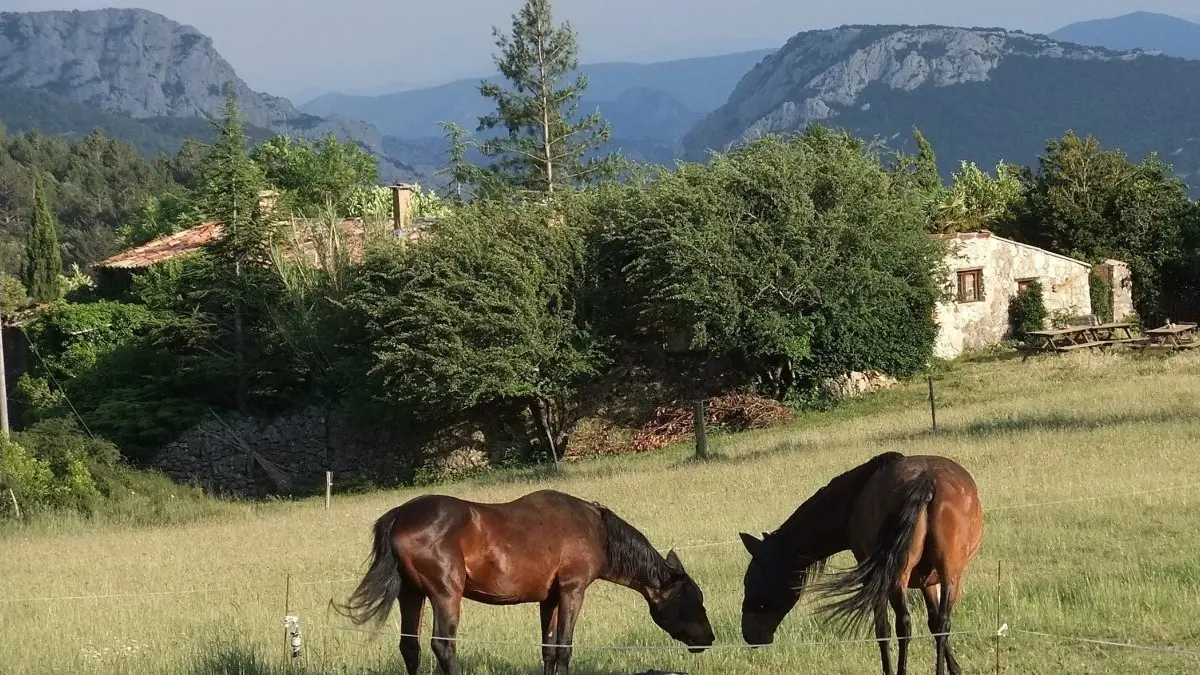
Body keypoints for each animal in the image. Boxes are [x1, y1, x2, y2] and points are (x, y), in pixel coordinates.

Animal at [335, 489, 715, 675]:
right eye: (694, 599)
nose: (709, 639)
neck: (596, 529)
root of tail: (400, 514)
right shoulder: (572, 591)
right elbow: (564, 648)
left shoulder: (548, 599)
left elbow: (548, 649)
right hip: (445, 595)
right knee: (443, 645)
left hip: (411, 595)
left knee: (410, 647)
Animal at [738, 451, 983, 675]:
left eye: (751, 582)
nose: (749, 635)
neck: (852, 501)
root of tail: (927, 482)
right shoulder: (928, 582)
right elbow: (934, 624)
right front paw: (954, 668)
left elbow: (882, 630)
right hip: (949, 574)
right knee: (942, 622)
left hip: (898, 578)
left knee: (903, 624)